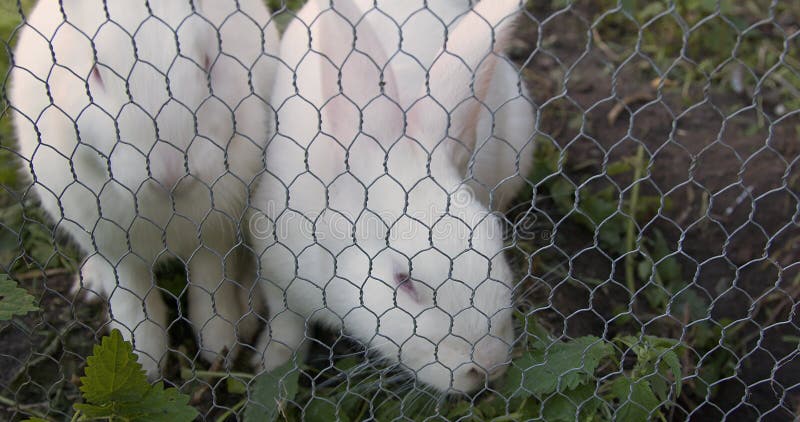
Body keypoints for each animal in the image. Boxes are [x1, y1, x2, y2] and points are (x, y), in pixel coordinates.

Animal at [10, 0, 282, 376]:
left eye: (208, 61)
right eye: (95, 73)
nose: (170, 173)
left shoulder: (215, 235)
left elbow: (210, 285)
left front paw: (220, 348)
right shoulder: (113, 248)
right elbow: (133, 299)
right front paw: (142, 363)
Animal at [253, 0, 536, 392]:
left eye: (495, 241)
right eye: (404, 281)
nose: (489, 366)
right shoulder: (277, 275)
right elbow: (286, 327)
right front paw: (270, 366)